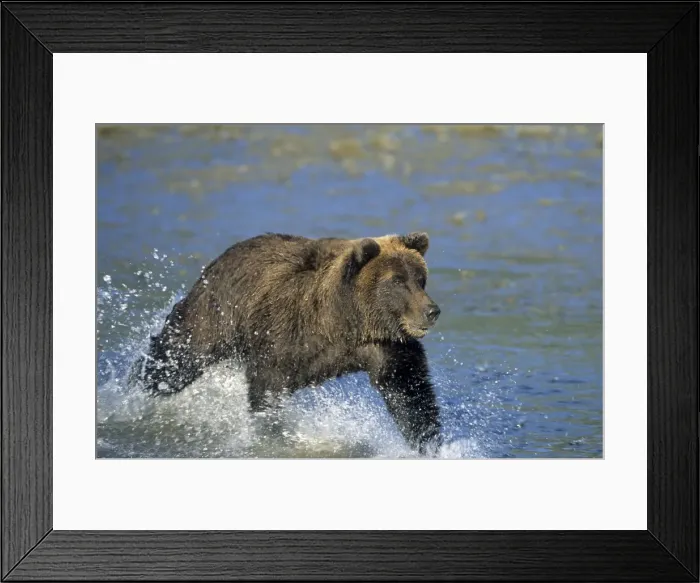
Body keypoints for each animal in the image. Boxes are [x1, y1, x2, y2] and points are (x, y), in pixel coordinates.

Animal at [131, 232, 443, 455]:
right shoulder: (282, 335)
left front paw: (428, 443)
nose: (431, 311)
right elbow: (266, 391)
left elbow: (408, 389)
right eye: (398, 281)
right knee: (176, 358)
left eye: (420, 279)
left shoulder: (384, 345)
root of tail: (217, 261)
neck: (341, 323)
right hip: (214, 314)